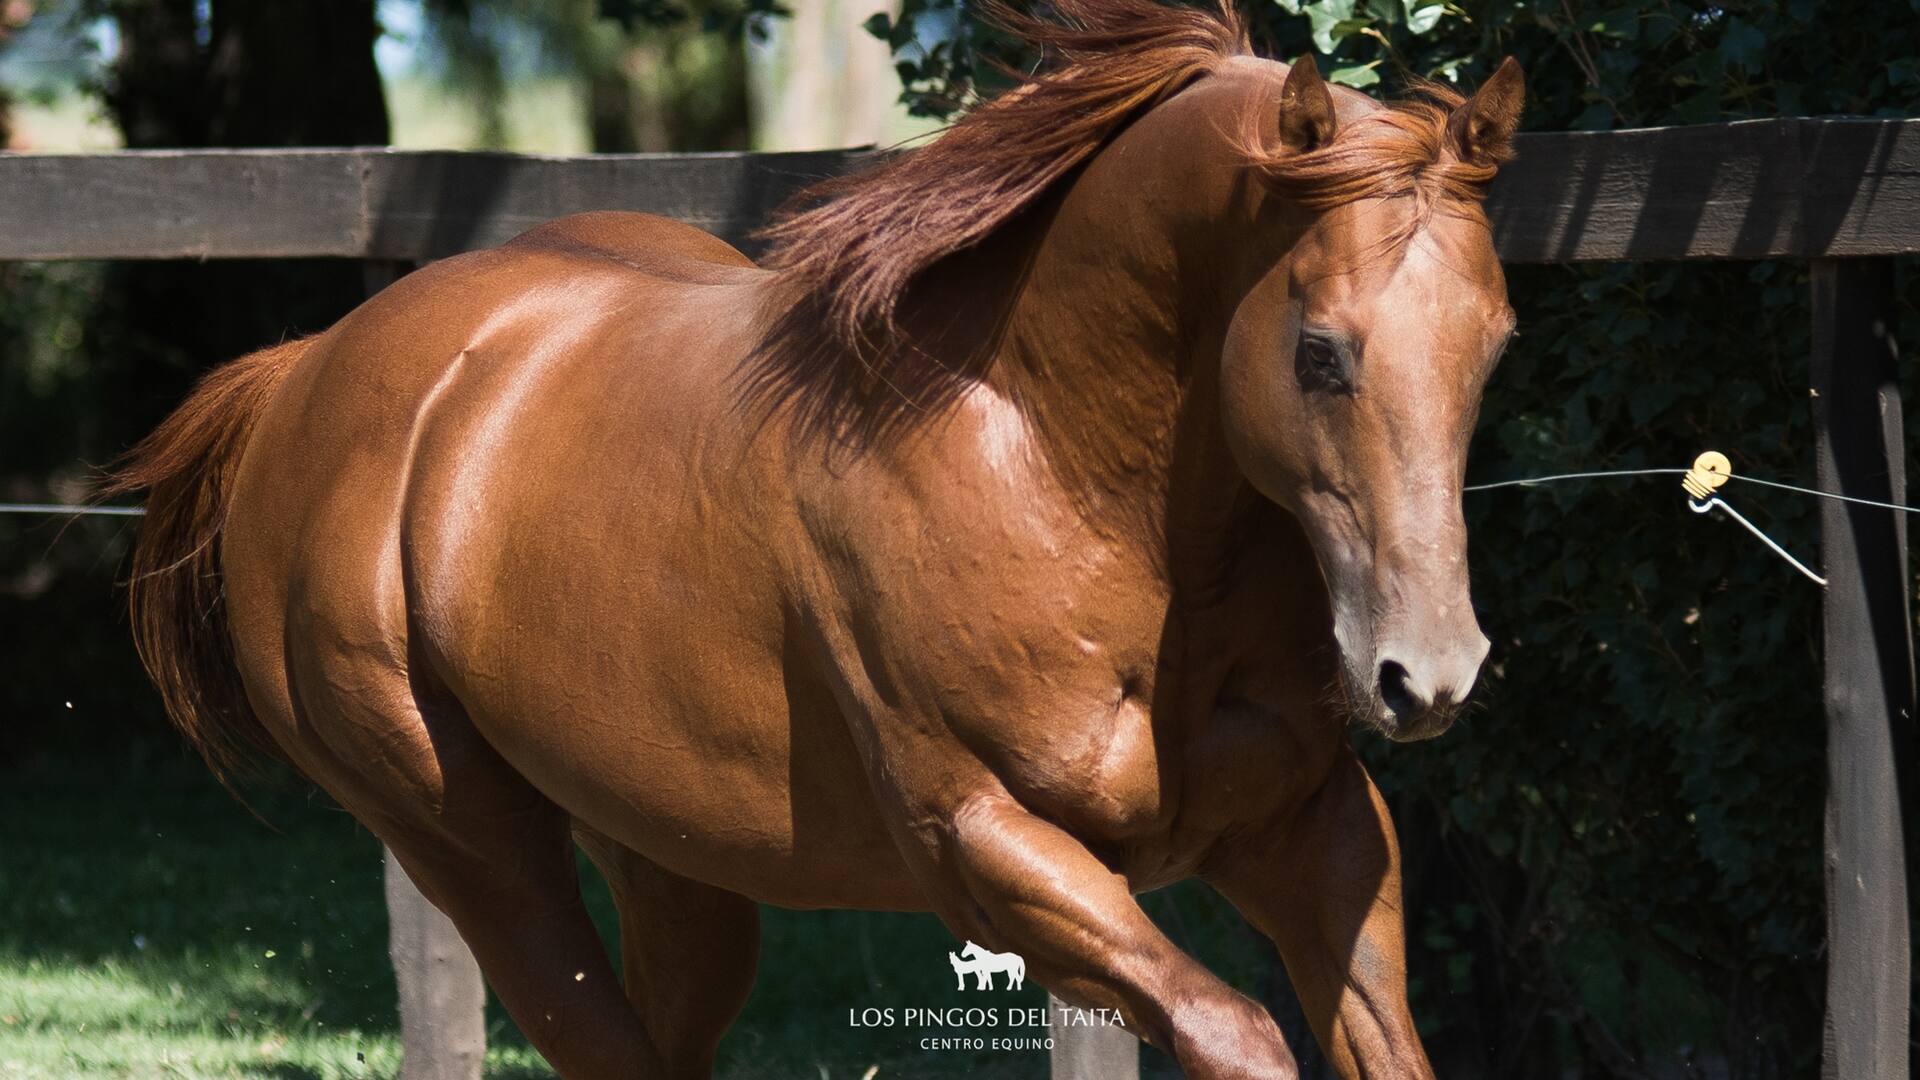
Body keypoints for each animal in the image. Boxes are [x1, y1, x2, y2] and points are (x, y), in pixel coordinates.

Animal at [108, 1, 1523, 1076]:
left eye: (1496, 341)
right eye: (1321, 350)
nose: (1430, 674)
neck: (1058, 479)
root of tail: (307, 373)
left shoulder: (1315, 828)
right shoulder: (993, 851)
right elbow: (1238, 1034)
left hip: (668, 858)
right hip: (466, 838)